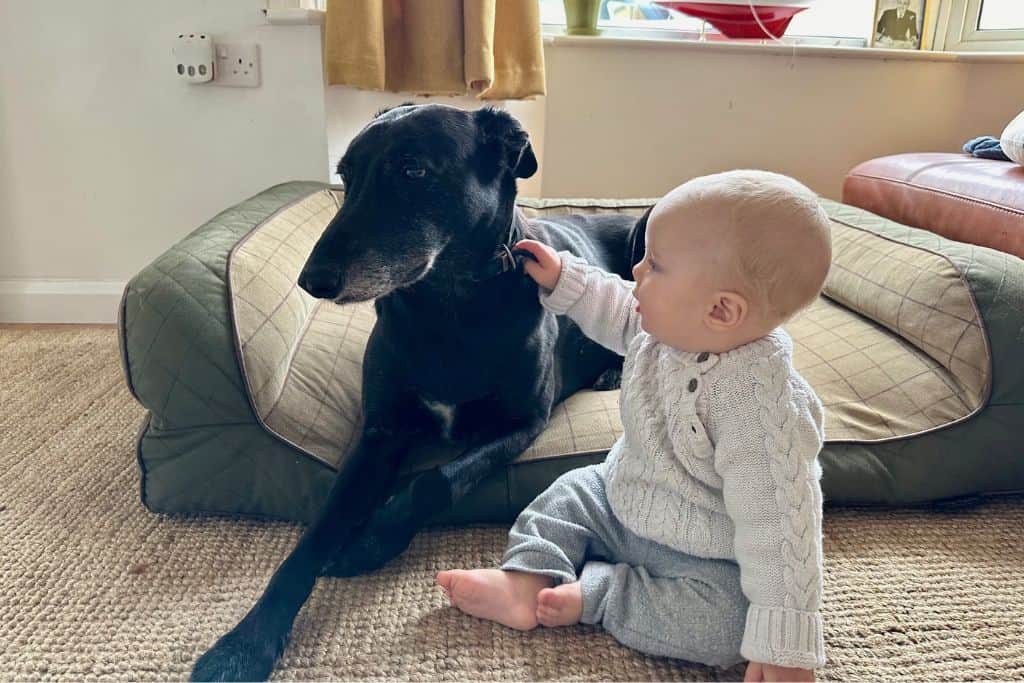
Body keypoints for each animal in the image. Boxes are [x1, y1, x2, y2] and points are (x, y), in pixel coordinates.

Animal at [188, 104, 643, 679]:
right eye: (346, 175)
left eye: (413, 170)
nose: (312, 281)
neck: (448, 305)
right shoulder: (379, 434)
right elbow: (314, 536)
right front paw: (245, 642)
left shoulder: (523, 424)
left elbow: (435, 480)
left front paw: (367, 543)